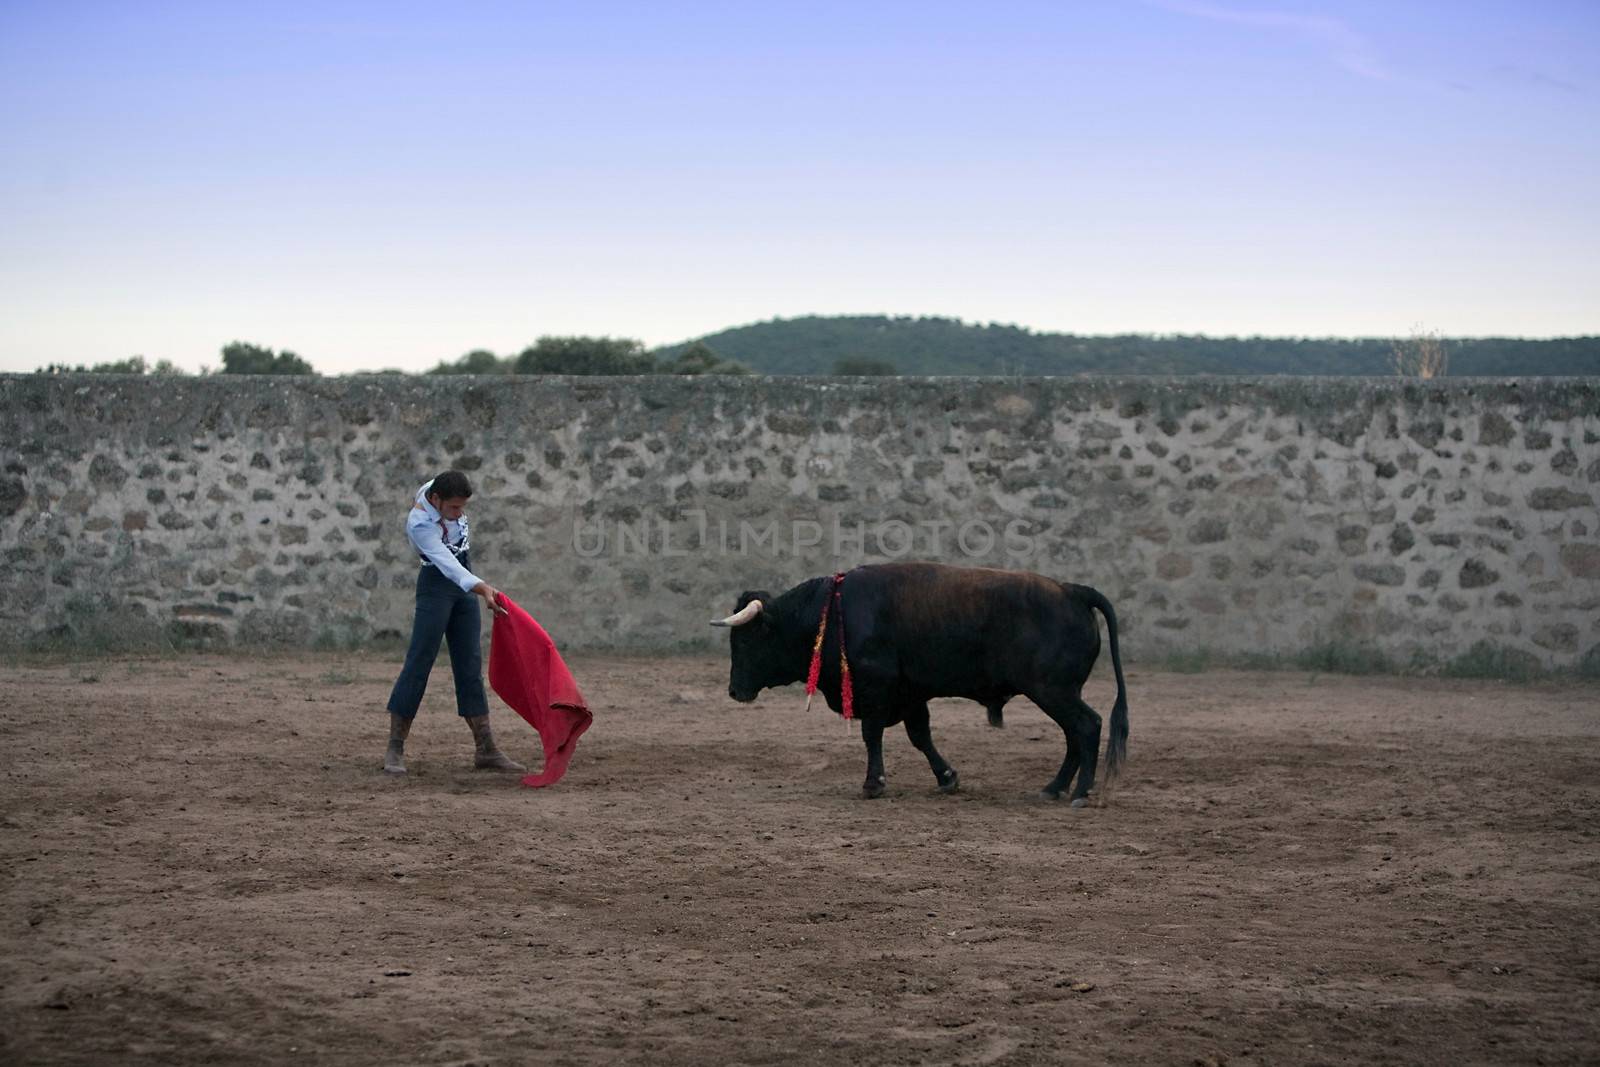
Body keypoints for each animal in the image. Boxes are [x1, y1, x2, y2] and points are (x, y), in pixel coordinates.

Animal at [713, 563, 1126, 806]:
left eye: (746, 641)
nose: (734, 691)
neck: (830, 614)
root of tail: (1073, 590)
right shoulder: (910, 693)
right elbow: (920, 736)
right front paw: (947, 777)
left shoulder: (876, 689)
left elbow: (872, 735)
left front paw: (873, 783)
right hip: (1057, 693)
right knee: (1074, 735)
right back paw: (1053, 788)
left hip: (1053, 691)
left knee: (1087, 726)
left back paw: (1079, 792)